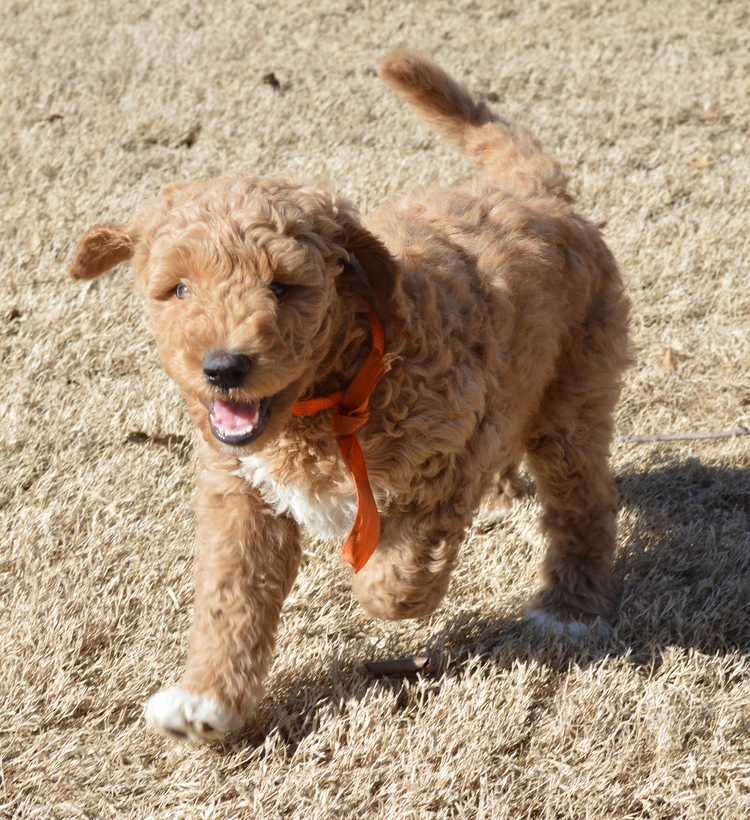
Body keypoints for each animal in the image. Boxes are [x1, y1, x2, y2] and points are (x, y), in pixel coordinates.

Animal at [72, 49, 636, 744]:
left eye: (283, 287)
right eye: (178, 289)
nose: (224, 367)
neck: (329, 393)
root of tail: (539, 193)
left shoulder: (448, 455)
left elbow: (395, 572)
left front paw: (382, 584)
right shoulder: (242, 491)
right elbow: (230, 595)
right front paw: (206, 699)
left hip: (574, 395)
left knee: (584, 500)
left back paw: (568, 609)